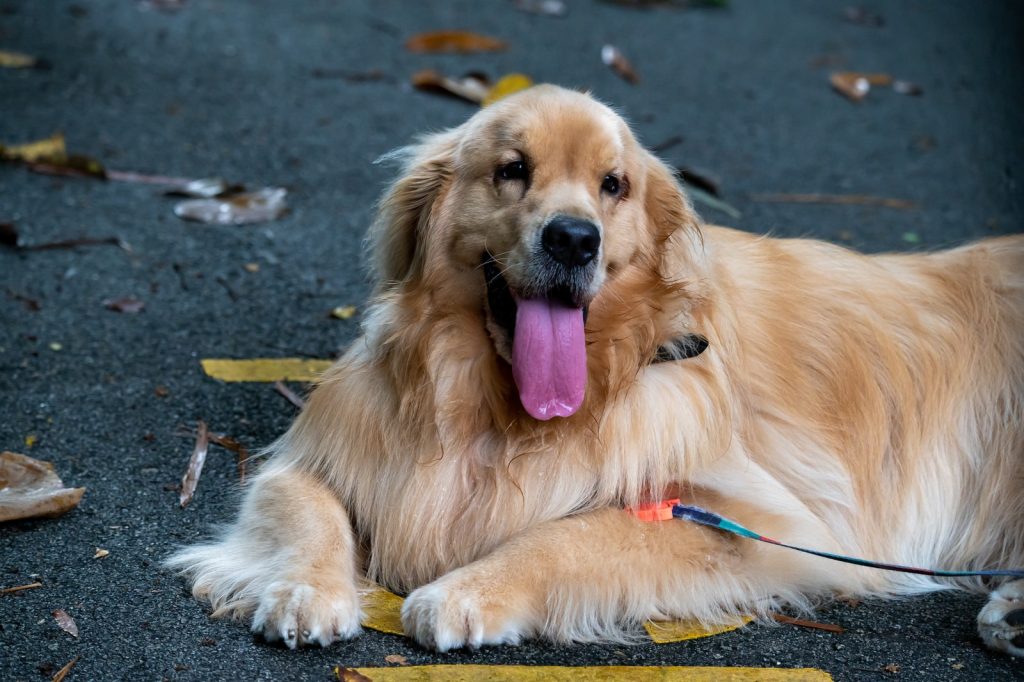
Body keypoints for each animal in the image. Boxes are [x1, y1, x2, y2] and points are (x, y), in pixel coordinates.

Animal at [167, 83, 1024, 655]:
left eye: (614, 186)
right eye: (511, 169)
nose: (574, 239)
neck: (496, 412)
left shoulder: (756, 524)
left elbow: (568, 536)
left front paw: (469, 591)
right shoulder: (317, 453)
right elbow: (307, 506)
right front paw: (304, 588)